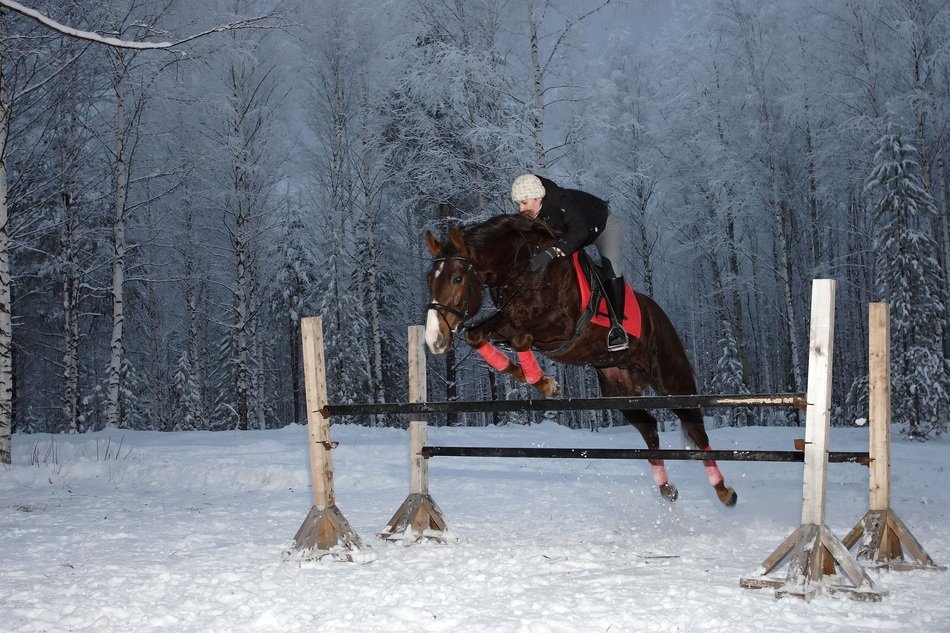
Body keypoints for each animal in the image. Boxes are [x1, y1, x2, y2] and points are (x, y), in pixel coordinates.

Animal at [426, 215, 744, 506]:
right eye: (430, 279)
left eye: (457, 278)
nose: (434, 339)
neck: (524, 268)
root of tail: (660, 315)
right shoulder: (508, 318)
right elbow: (477, 336)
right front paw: (529, 377)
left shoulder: (559, 327)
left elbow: (520, 338)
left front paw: (545, 384)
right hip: (619, 391)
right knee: (649, 427)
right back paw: (666, 488)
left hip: (672, 379)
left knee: (695, 426)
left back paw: (724, 491)